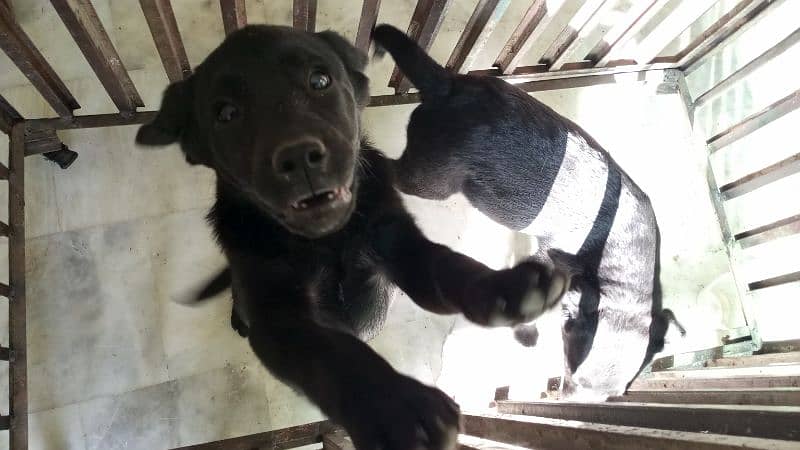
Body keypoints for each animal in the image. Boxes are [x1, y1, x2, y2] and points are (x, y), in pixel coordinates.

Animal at [134, 25, 564, 450]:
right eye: (226, 113)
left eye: (320, 80)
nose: (299, 157)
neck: (328, 242)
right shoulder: (276, 317)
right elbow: (329, 353)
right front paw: (396, 407)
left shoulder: (399, 243)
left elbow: (445, 264)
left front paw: (505, 287)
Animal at [372, 24, 684, 400]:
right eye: (571, 375)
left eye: (615, 395)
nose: (568, 403)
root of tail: (448, 86)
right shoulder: (548, 260)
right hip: (430, 179)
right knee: (389, 169)